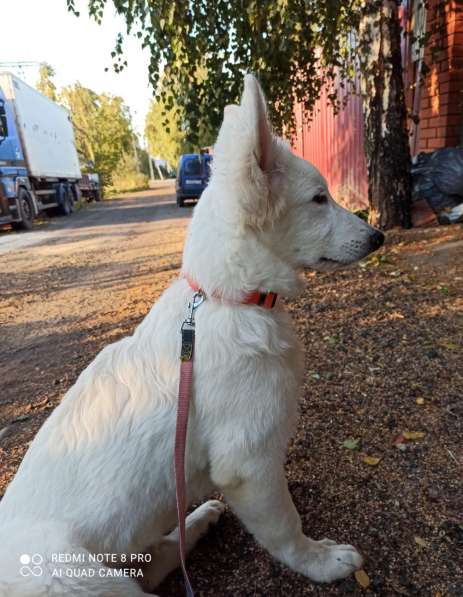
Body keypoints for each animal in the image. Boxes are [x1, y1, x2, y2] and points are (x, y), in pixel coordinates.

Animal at [0, 77, 384, 592]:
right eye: (319, 199)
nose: (379, 237)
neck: (228, 299)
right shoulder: (249, 464)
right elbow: (286, 527)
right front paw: (321, 562)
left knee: (156, 561)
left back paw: (198, 520)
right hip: (88, 580)